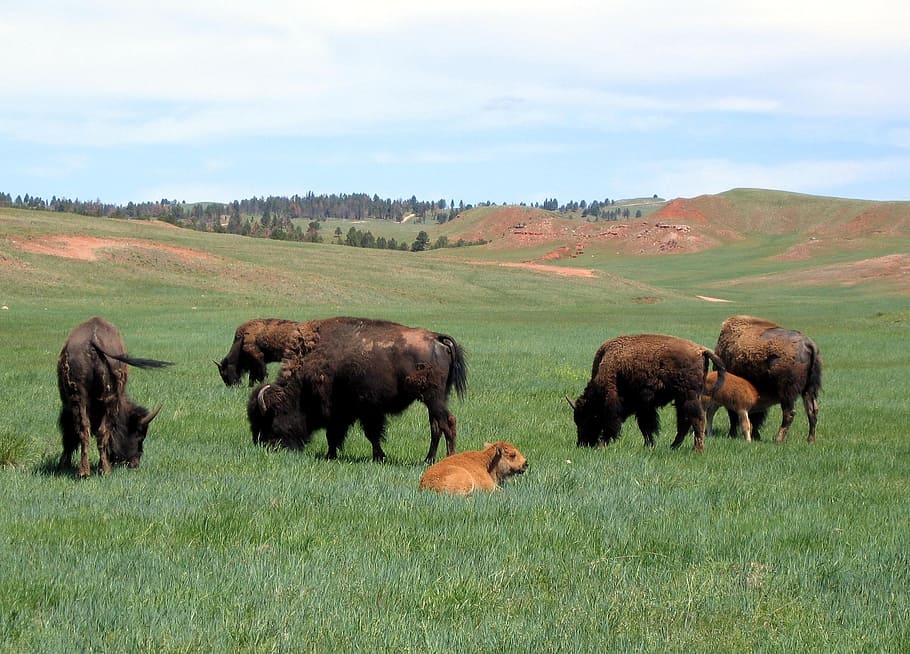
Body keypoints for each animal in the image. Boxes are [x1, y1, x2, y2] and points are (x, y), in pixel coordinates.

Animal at [57, 317, 171, 478]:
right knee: (99, 432)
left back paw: (86, 472)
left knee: (85, 431)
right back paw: (103, 470)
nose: (135, 464)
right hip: (106, 401)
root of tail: (93, 340)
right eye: (140, 435)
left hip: (81, 398)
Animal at [247, 317, 468, 463]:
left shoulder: (348, 411)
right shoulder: (362, 412)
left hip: (434, 398)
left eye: (268, 419)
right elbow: (366, 434)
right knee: (436, 426)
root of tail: (437, 339)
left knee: (447, 423)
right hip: (436, 399)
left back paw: (449, 459)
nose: (265, 445)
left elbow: (346, 434)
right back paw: (428, 459)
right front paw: (375, 457)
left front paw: (334, 456)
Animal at [569, 334, 725, 452]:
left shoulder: (615, 403)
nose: (582, 443)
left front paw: (602, 445)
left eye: (589, 418)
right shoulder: (644, 407)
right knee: (684, 421)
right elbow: (646, 426)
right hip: (682, 399)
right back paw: (673, 447)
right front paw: (649, 445)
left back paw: (697, 449)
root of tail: (701, 350)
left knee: (696, 419)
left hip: (688, 396)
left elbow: (615, 424)